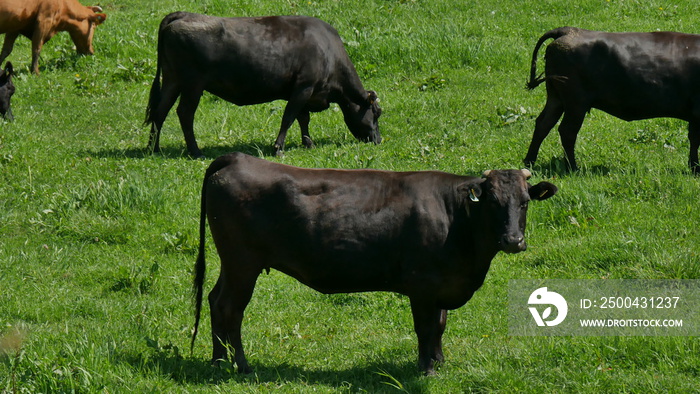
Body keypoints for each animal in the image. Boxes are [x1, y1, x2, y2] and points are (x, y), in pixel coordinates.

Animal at [144, 12, 382, 157]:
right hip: (193, 84)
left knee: (160, 111)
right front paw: (278, 147)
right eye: (377, 113)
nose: (378, 139)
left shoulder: (303, 91)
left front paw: (308, 142)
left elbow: (303, 118)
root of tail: (183, 14)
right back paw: (195, 151)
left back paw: (153, 148)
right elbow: (289, 117)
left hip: (172, 80)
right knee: (184, 113)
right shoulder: (304, 87)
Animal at [190, 152, 556, 376]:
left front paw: (439, 361)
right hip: (243, 263)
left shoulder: (441, 284)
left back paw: (217, 361)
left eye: (525, 202)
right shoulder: (422, 285)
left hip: (232, 263)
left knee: (214, 300)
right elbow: (426, 327)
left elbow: (440, 324)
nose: (513, 241)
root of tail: (238, 157)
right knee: (230, 308)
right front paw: (426, 368)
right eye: (492, 202)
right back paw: (241, 365)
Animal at [528, 26, 700, 173]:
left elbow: (693, 139)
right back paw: (573, 168)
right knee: (567, 131)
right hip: (575, 102)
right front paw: (695, 169)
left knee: (543, 124)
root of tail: (568, 30)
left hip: (557, 98)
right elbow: (696, 140)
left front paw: (694, 167)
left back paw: (529, 162)